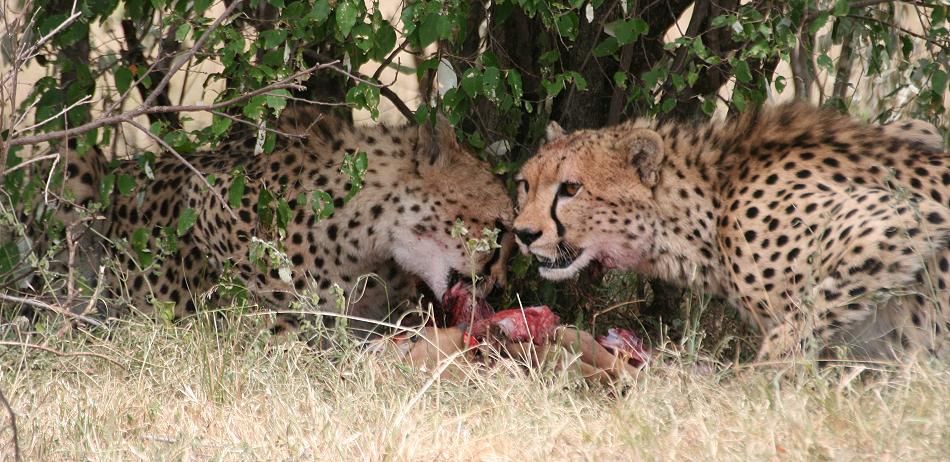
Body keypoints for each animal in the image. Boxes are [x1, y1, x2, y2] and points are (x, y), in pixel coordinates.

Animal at [512, 104, 950, 360]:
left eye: (571, 188)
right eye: (525, 185)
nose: (523, 233)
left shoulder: (909, 215)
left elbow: (797, 324)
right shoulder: (921, 130)